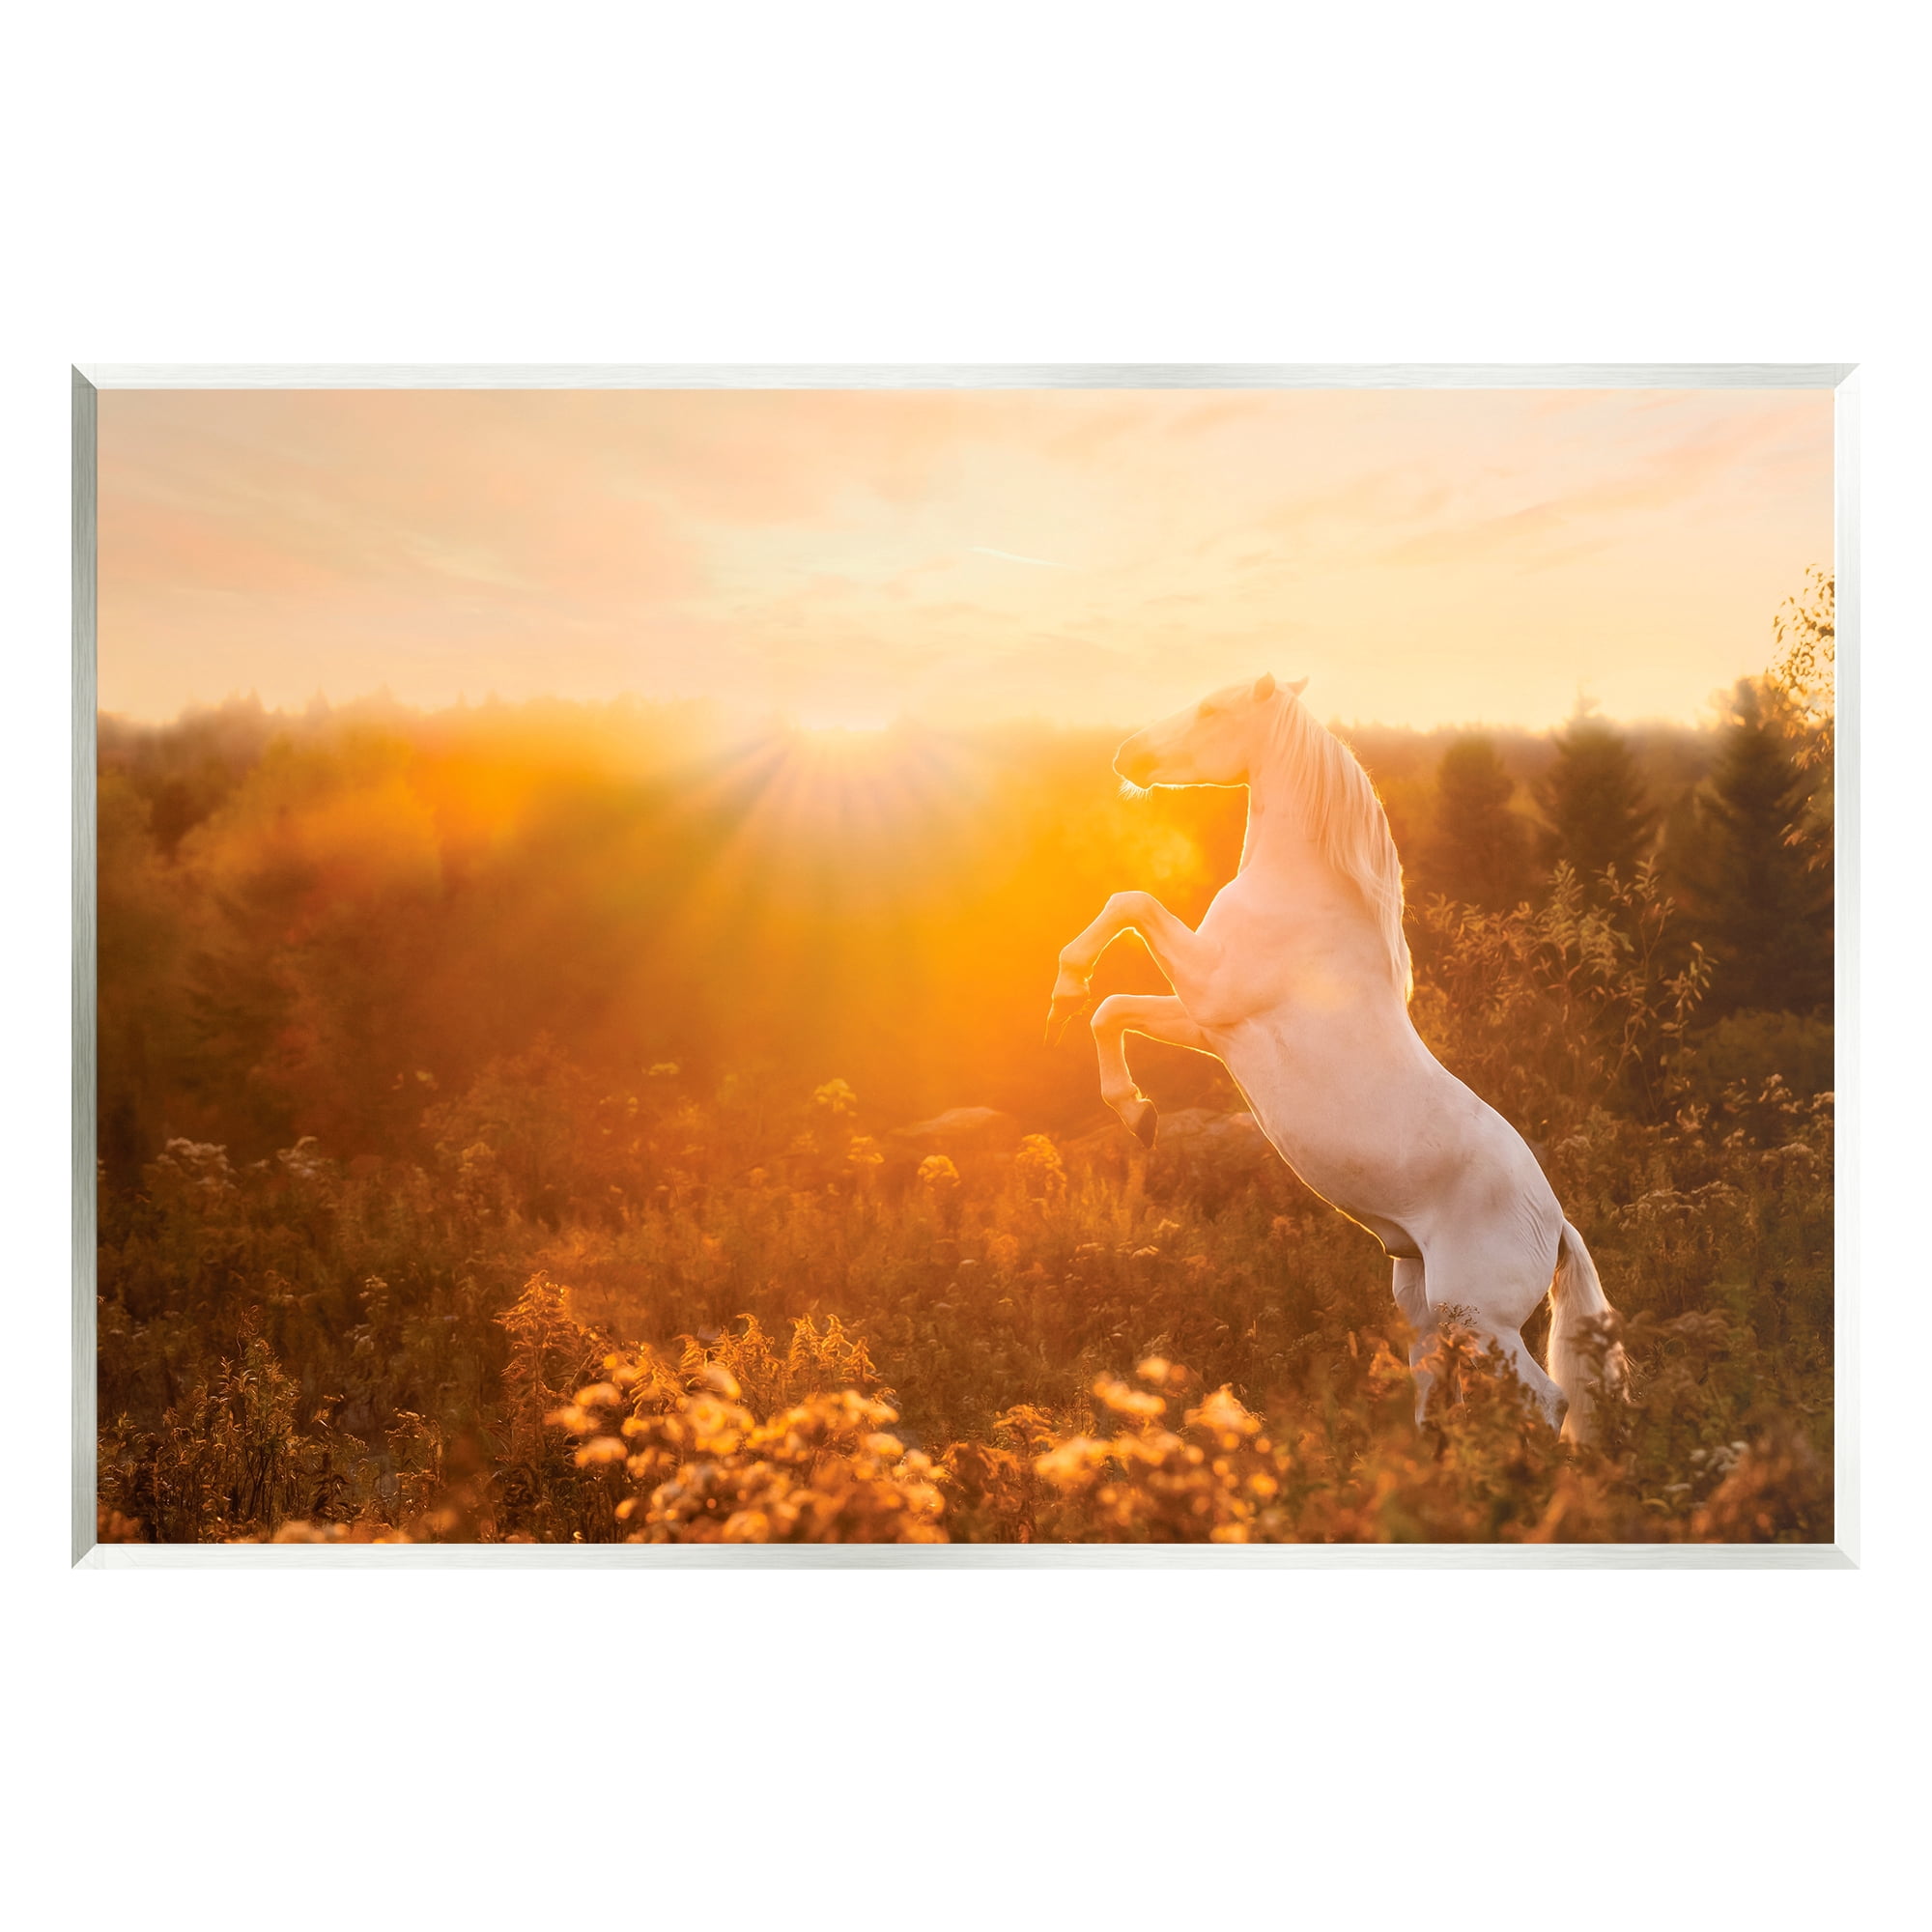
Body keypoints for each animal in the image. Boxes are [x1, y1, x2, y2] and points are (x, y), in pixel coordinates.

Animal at [1046, 673, 1625, 1441]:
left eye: (1212, 708)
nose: (1126, 755)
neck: (1303, 894)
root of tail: (1556, 1224)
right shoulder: (1205, 1023)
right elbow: (1112, 1009)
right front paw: (1136, 1113)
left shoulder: (1209, 987)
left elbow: (1129, 906)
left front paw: (1068, 993)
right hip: (1423, 1304)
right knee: (1437, 1385)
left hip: (1480, 1320)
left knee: (1547, 1402)